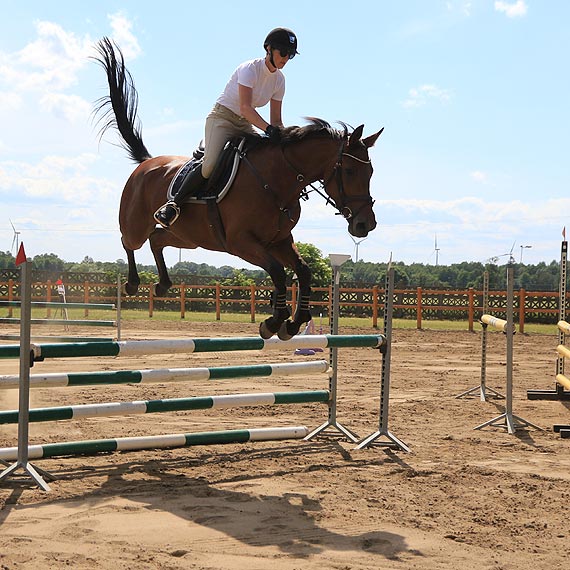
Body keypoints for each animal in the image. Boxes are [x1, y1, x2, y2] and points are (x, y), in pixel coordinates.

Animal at [92, 37, 382, 340]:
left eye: (370, 172)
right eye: (349, 171)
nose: (365, 224)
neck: (277, 181)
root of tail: (146, 163)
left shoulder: (279, 240)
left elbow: (302, 272)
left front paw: (294, 321)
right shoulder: (241, 242)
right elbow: (278, 272)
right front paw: (274, 321)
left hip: (189, 237)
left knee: (157, 239)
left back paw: (162, 285)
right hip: (137, 224)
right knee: (129, 241)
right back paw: (133, 283)